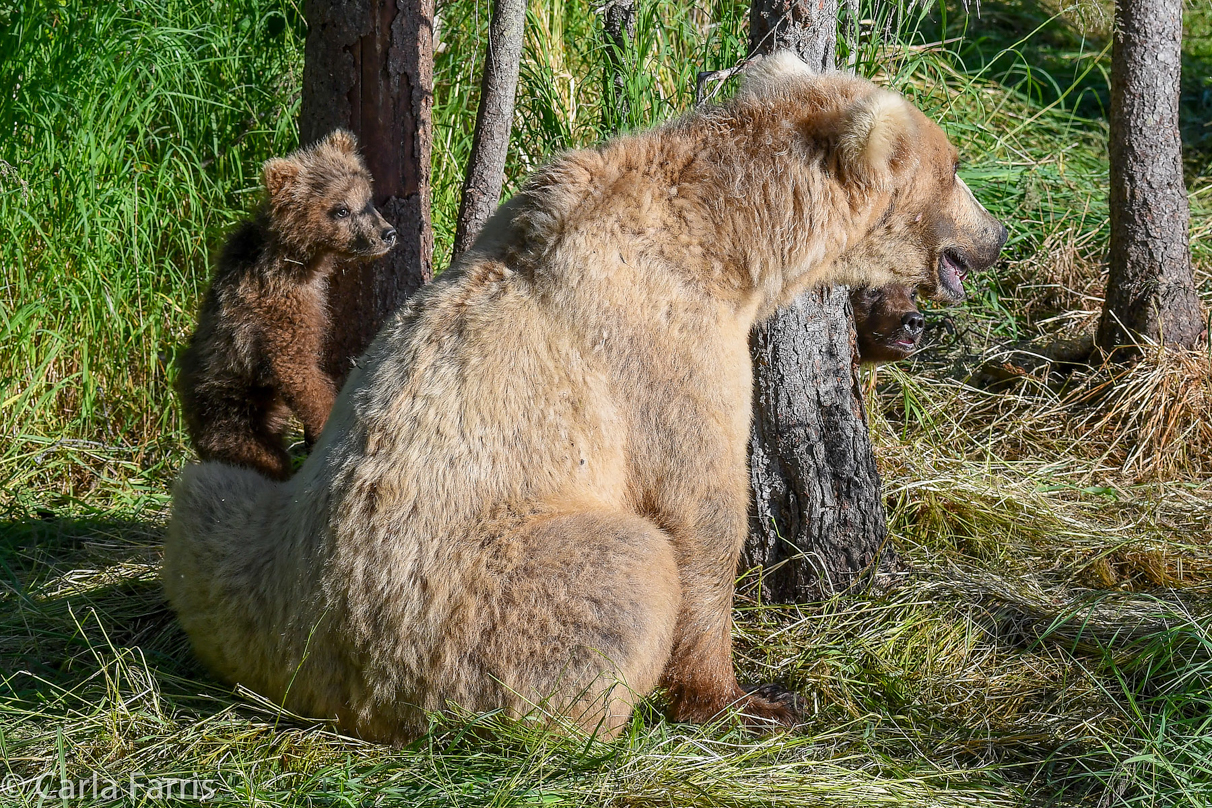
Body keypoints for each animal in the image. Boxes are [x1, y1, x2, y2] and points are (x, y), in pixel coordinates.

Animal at [166, 53, 1008, 741]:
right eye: (956, 165)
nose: (996, 236)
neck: (725, 237)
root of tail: (332, 682)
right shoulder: (667, 343)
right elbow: (700, 512)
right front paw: (746, 698)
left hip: (248, 554)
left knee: (210, 493)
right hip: (470, 600)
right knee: (628, 568)